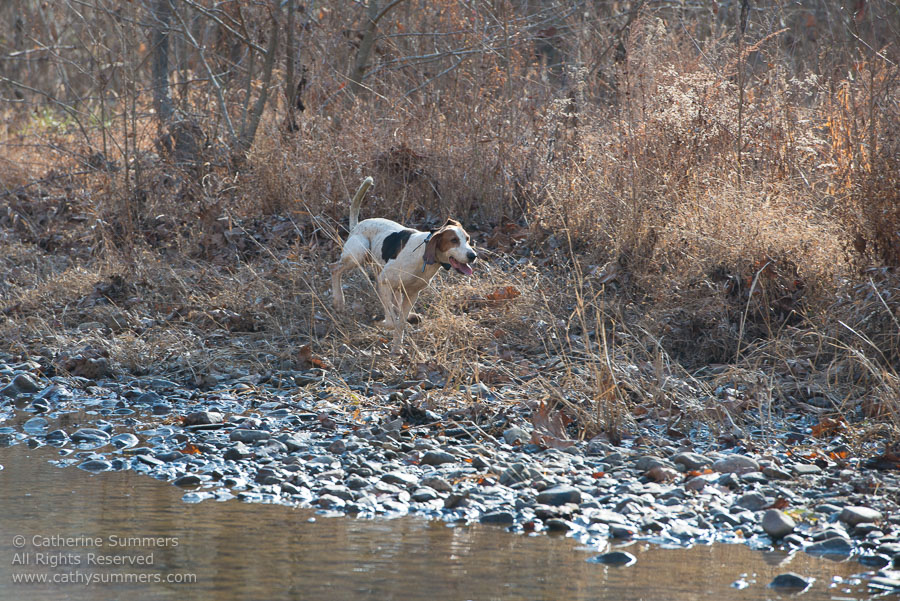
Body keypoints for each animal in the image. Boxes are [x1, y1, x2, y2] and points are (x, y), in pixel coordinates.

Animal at [330, 177, 478, 352]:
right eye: (453, 240)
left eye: (467, 239)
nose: (473, 256)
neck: (422, 257)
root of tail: (357, 226)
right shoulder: (385, 282)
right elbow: (392, 322)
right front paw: (383, 324)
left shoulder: (411, 294)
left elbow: (399, 322)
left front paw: (397, 349)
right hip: (358, 254)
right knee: (335, 269)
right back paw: (339, 301)